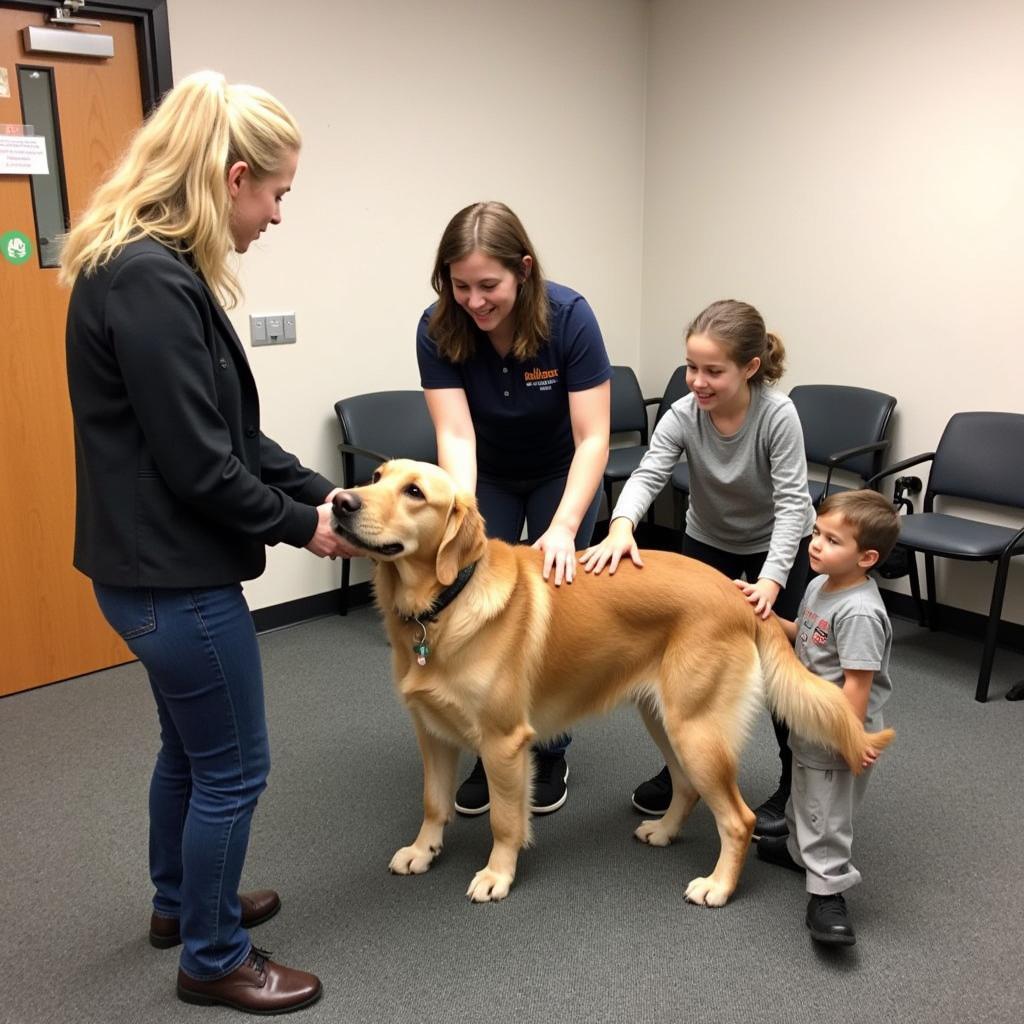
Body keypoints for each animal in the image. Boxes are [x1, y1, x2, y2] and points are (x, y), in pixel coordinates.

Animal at [331, 462, 892, 905]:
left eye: (414, 491)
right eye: (376, 477)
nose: (339, 501)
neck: (443, 605)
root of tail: (740, 595)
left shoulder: (504, 742)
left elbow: (506, 821)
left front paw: (497, 874)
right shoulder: (432, 732)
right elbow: (433, 802)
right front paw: (422, 851)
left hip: (696, 728)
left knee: (738, 819)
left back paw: (718, 886)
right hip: (665, 719)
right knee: (686, 787)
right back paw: (663, 831)